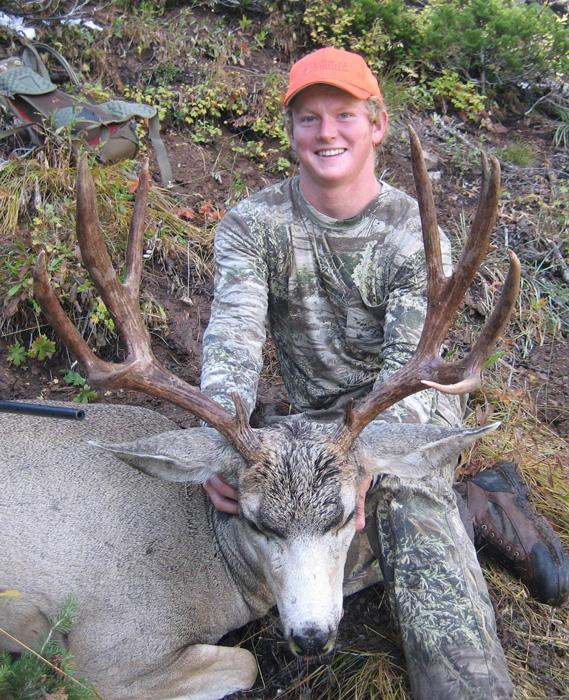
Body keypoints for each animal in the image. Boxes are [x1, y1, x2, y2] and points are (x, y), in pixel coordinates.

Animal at [0, 128, 520, 700]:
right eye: (257, 521)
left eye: (343, 515)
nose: (312, 636)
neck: (209, 561)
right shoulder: (108, 653)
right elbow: (246, 663)